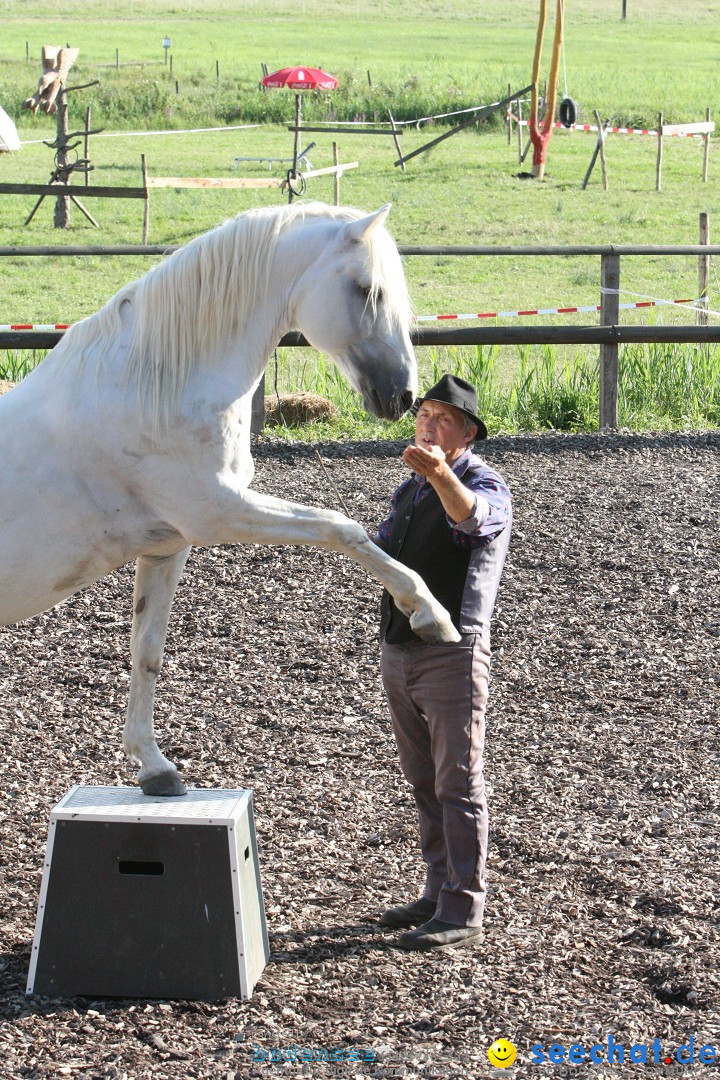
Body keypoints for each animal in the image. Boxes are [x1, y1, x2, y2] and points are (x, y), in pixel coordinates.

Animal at [0, 203, 459, 794]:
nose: (402, 394)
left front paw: (156, 768)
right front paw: (431, 614)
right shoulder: (219, 511)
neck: (155, 384)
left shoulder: (168, 546)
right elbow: (342, 527)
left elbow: (146, 652)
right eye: (368, 290)